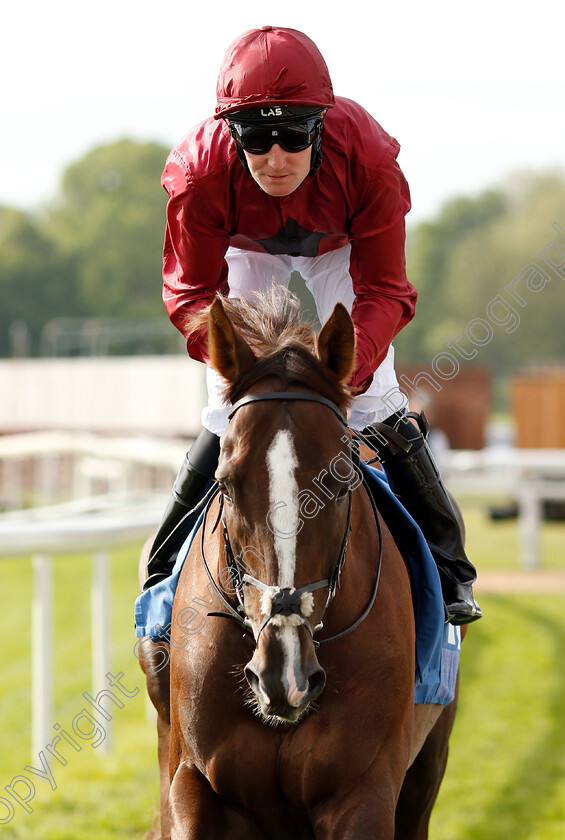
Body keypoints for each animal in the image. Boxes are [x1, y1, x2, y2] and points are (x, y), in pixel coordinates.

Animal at [139, 292, 460, 836]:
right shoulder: (191, 783)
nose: (282, 674)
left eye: (341, 481)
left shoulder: (365, 791)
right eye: (225, 483)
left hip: (428, 765)